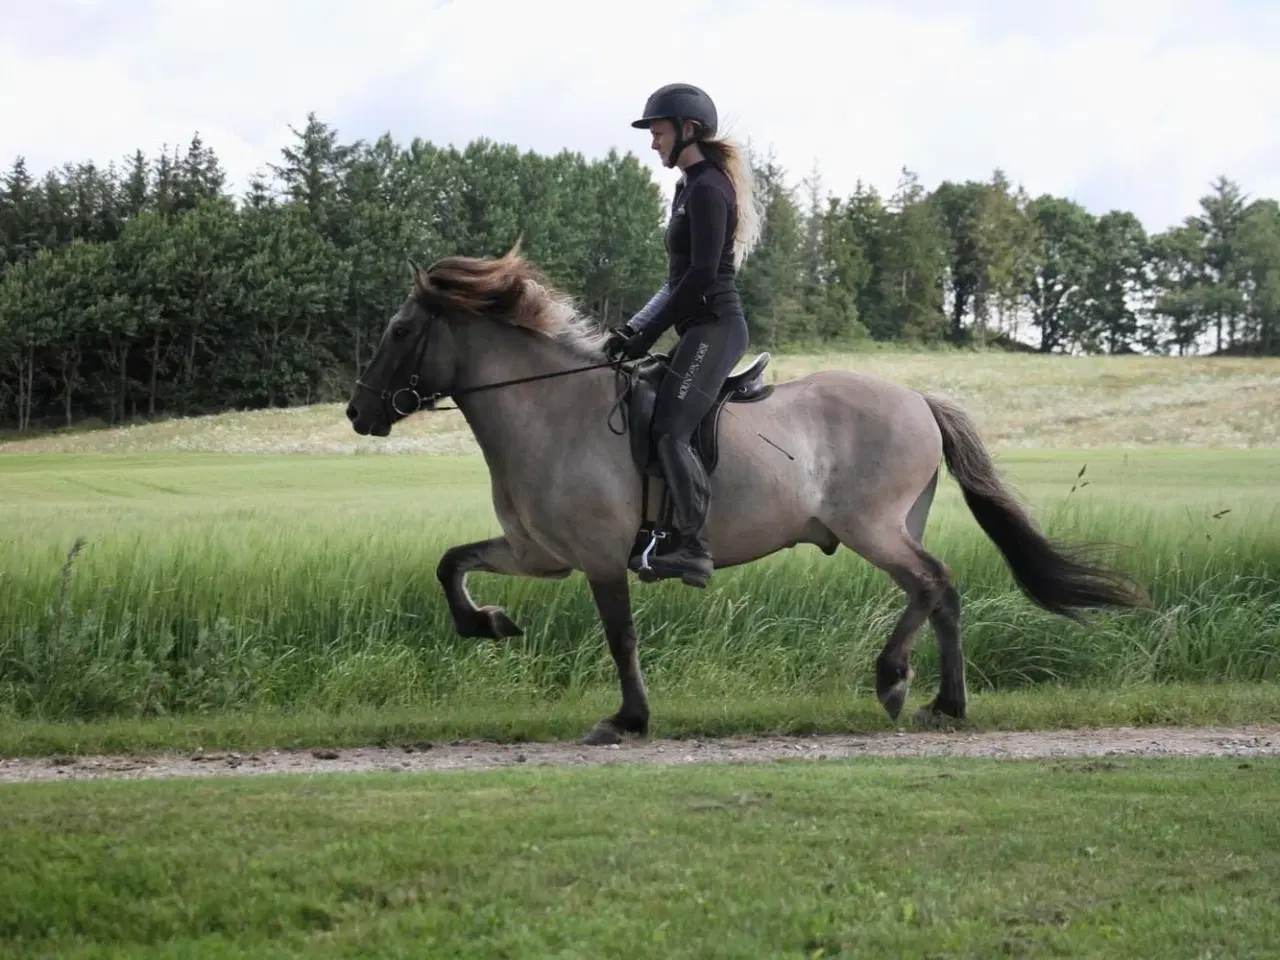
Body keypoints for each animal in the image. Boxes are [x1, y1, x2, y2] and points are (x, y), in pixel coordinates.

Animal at [343, 245, 1152, 742]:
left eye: (398, 330)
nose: (358, 412)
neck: (548, 408)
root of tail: (919, 400)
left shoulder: (601, 559)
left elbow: (619, 636)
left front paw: (628, 720)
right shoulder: (537, 552)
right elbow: (452, 564)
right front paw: (487, 623)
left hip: (872, 528)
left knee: (935, 585)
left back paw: (899, 685)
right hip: (891, 528)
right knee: (937, 593)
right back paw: (940, 702)